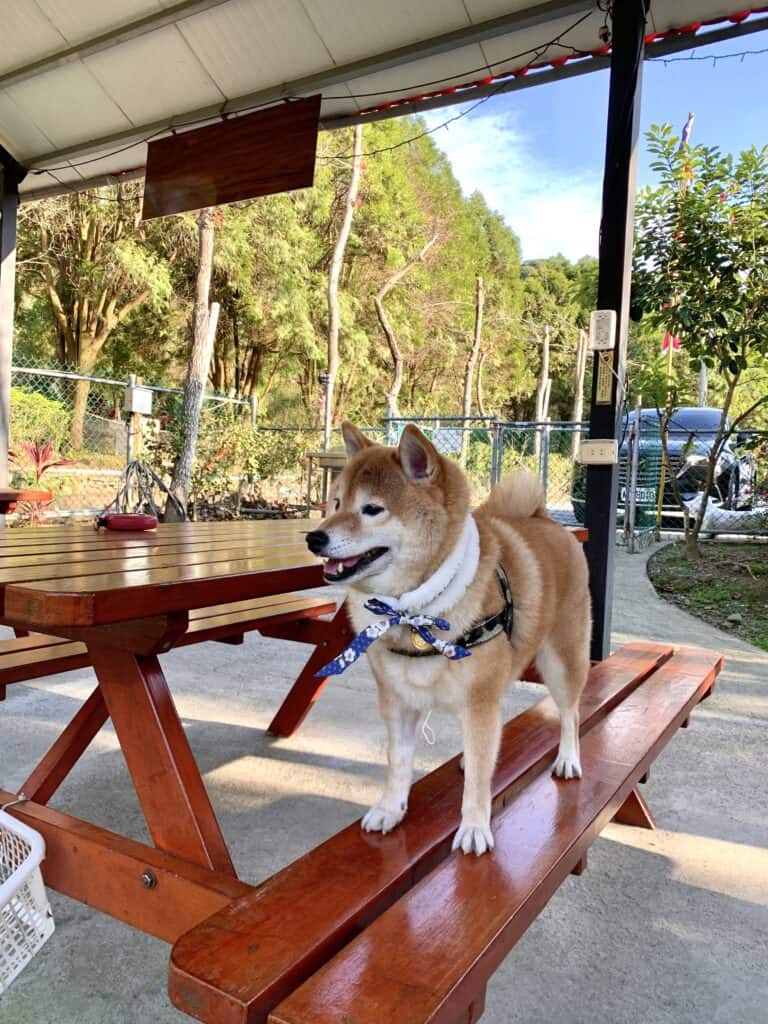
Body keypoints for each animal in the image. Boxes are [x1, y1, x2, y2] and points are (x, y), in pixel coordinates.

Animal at [303, 419, 593, 851]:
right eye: (336, 503)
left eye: (372, 509)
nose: (313, 538)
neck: (410, 611)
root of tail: (545, 520)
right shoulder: (398, 702)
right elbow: (398, 762)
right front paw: (390, 809)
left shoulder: (479, 702)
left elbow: (478, 779)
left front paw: (474, 827)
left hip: (562, 663)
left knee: (570, 714)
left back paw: (568, 759)